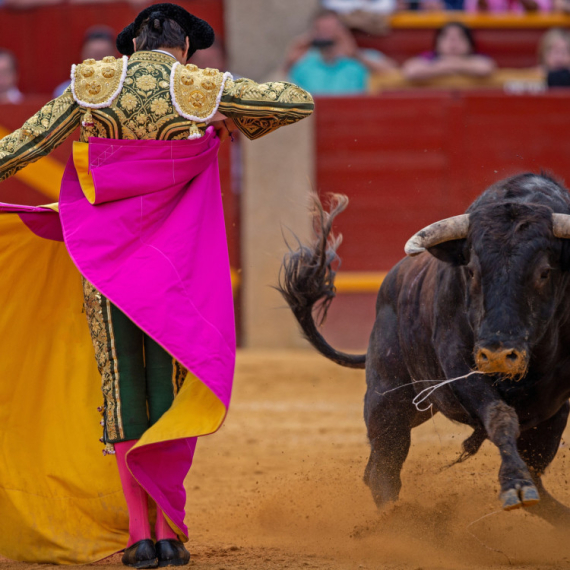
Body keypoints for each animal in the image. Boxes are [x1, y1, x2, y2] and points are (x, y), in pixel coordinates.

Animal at [278, 173, 570, 524]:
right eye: (471, 270)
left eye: (544, 273)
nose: (498, 355)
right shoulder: (459, 366)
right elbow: (499, 415)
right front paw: (514, 485)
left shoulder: (554, 405)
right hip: (387, 400)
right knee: (383, 468)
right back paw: (403, 524)